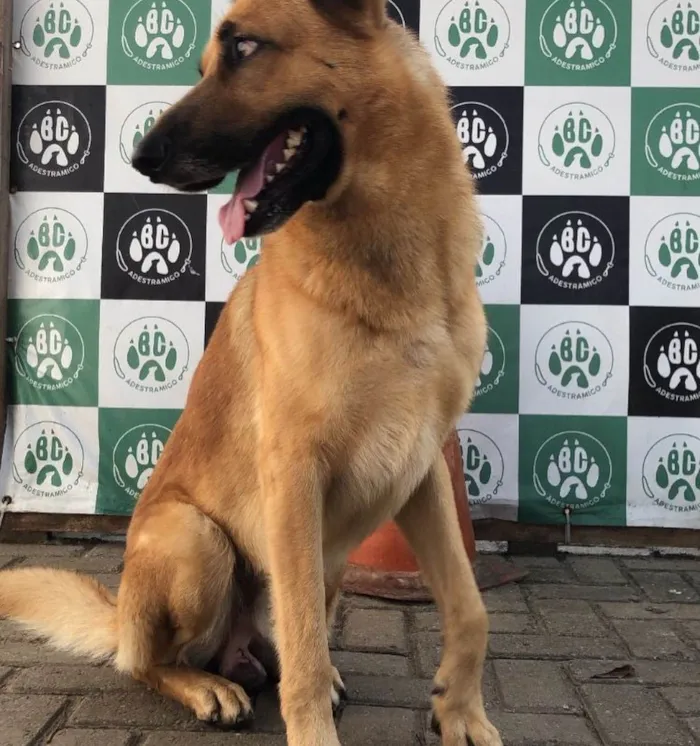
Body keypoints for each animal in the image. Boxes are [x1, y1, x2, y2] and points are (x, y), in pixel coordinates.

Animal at [0, 1, 504, 744]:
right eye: (205, 64)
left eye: (243, 48)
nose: (140, 158)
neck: (387, 270)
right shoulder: (294, 474)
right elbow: (304, 645)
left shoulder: (424, 467)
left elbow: (470, 607)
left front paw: (461, 711)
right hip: (196, 541)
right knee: (152, 662)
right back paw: (207, 686)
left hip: (322, 559)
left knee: (277, 647)